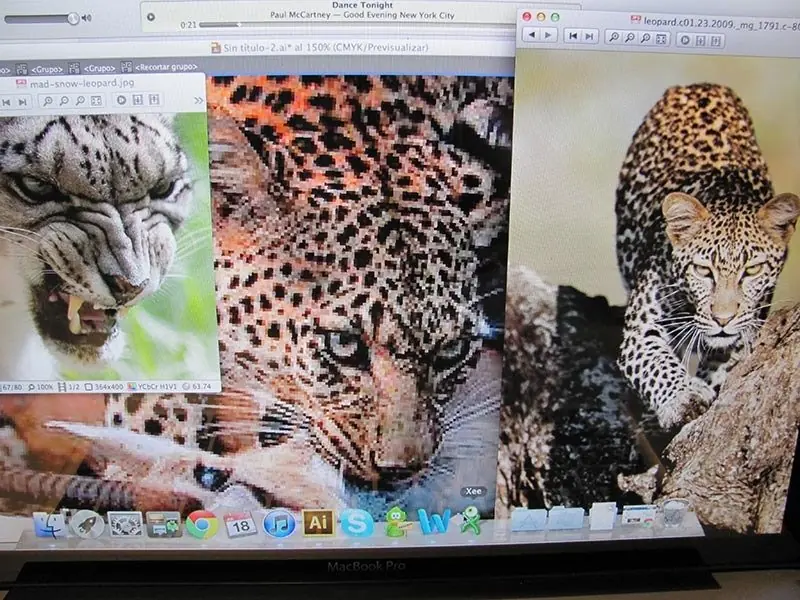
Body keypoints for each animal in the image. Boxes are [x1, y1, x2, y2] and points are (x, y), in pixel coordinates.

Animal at [616, 83, 799, 431]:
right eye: (703, 271)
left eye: (752, 270)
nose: (722, 319)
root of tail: (698, 85)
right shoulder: (641, 328)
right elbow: (655, 361)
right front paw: (683, 397)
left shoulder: (746, 326)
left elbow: (725, 361)